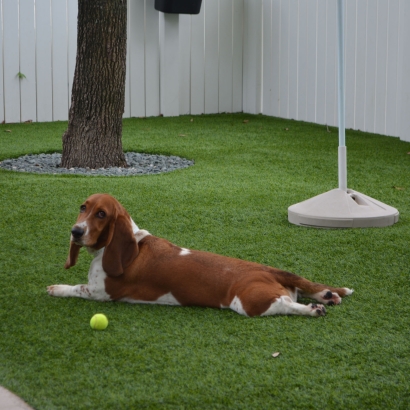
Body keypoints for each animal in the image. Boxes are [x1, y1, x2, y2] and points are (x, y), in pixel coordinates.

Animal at [48, 195, 352, 318]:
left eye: (101, 214)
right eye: (83, 207)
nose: (76, 231)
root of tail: (267, 269)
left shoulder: (100, 293)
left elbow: (75, 288)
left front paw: (55, 288)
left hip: (249, 303)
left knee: (286, 306)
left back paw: (313, 309)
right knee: (307, 288)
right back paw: (328, 296)